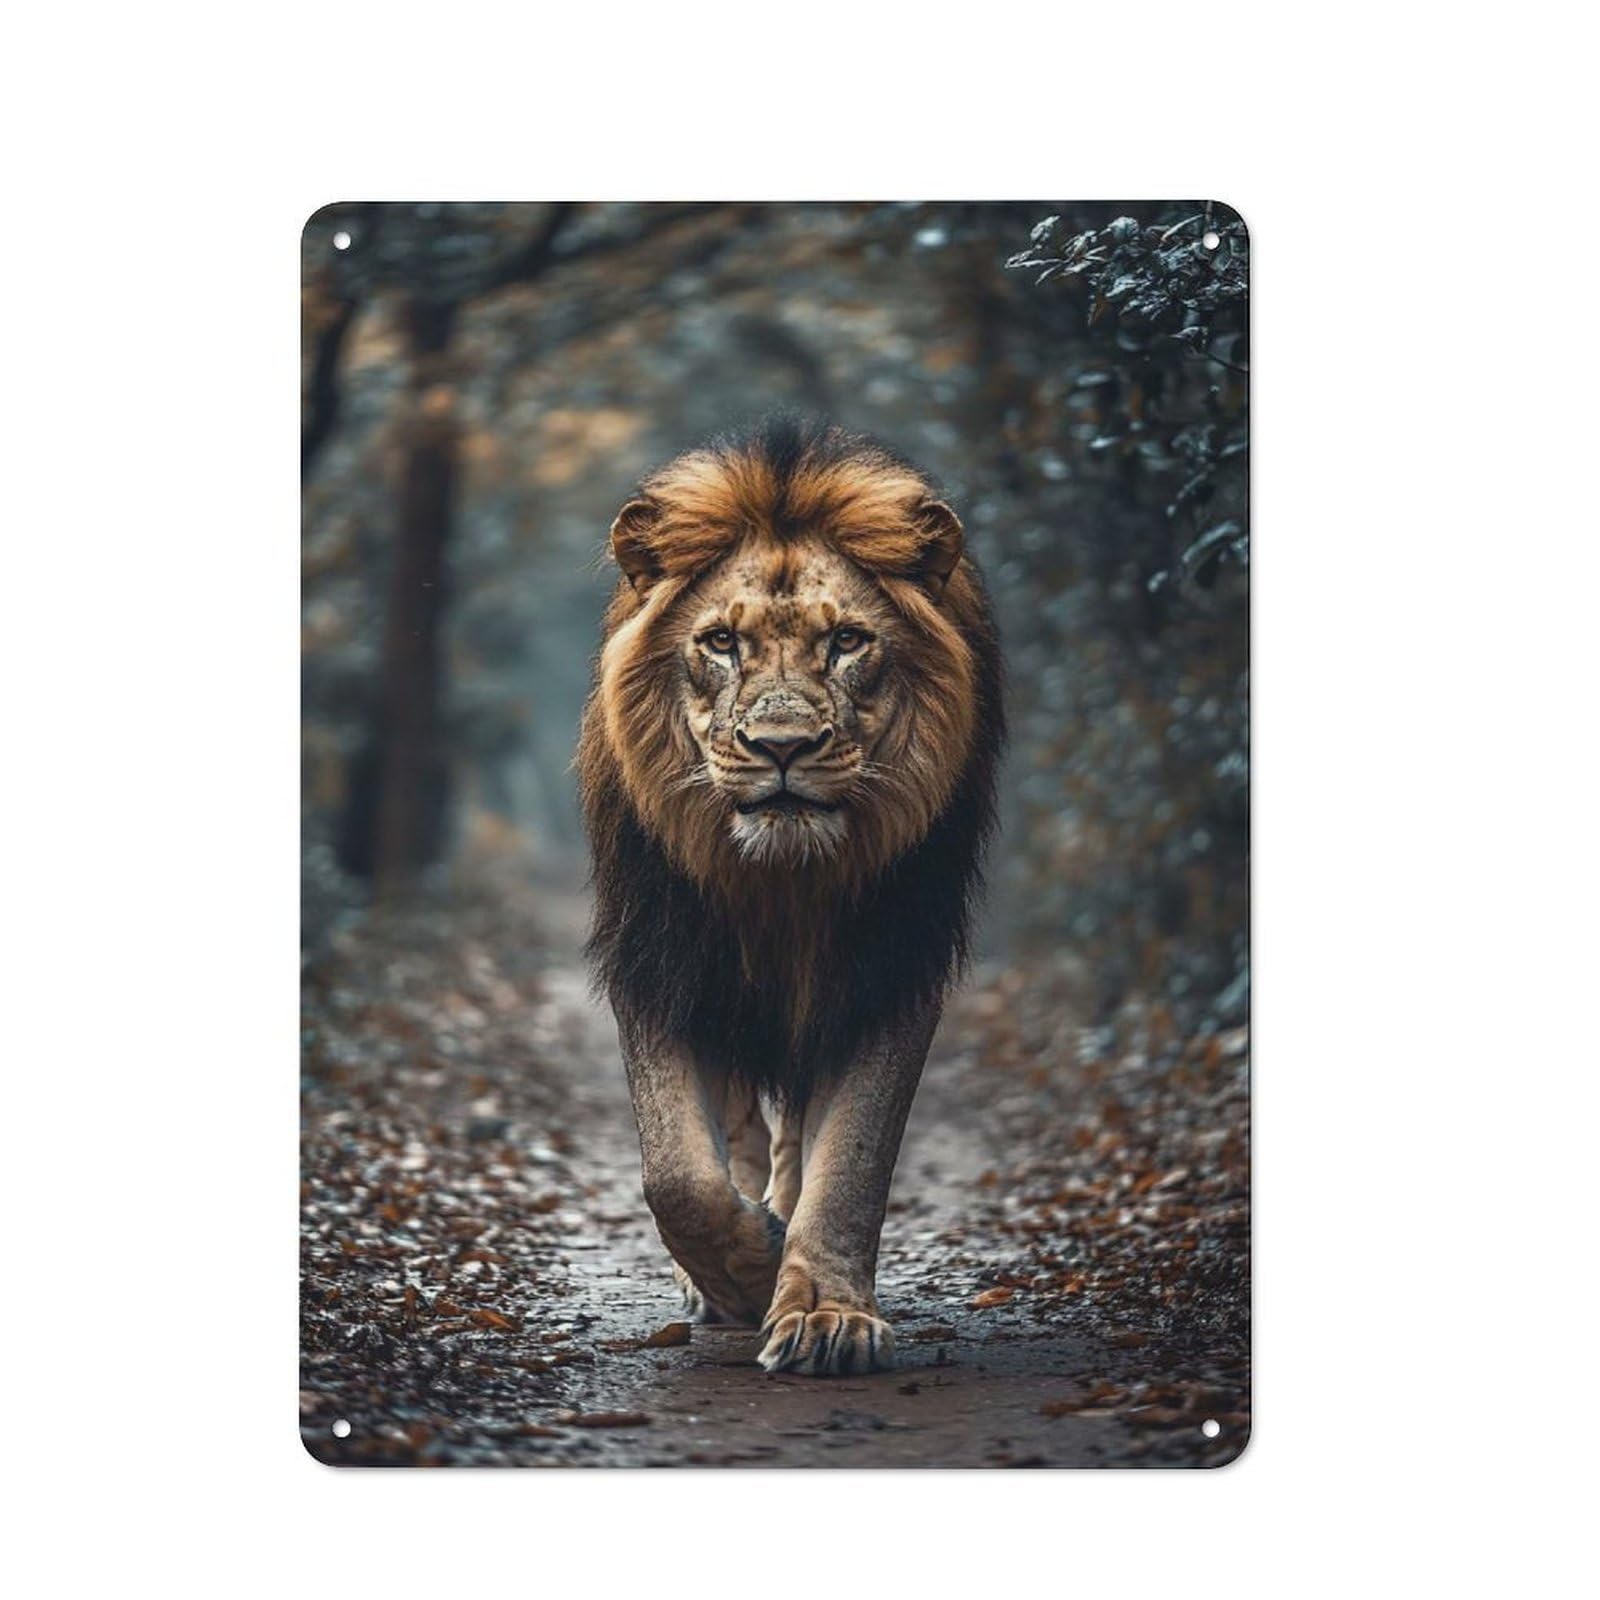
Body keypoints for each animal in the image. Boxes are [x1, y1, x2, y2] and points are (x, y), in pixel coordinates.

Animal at [578, 416, 1003, 1375]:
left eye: (847, 641)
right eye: (719, 643)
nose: (781, 746)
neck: (780, 880)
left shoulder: (890, 965)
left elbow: (852, 1161)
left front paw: (823, 1312)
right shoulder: (660, 952)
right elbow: (678, 1175)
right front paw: (747, 1272)